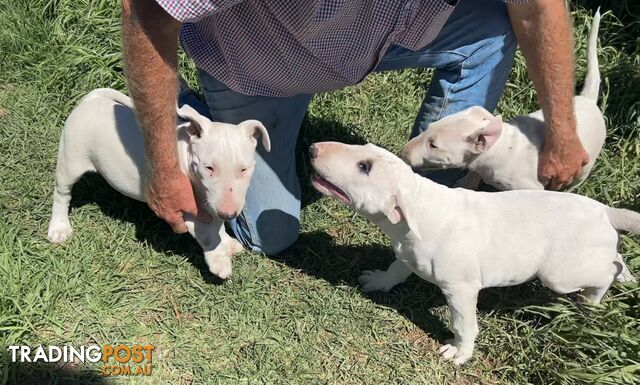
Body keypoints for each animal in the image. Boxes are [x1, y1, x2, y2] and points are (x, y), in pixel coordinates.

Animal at [47, 88, 270, 278]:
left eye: (244, 169)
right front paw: (219, 261)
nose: (229, 213)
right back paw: (58, 228)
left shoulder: (211, 201)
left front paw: (228, 243)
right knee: (61, 194)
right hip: (71, 160)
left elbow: (216, 224)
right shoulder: (182, 207)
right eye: (209, 168)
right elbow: (208, 233)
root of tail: (90, 100)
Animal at [308, 140, 636, 364]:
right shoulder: (407, 252)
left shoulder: (461, 288)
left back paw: (593, 303)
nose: (312, 149)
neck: (418, 209)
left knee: (605, 273)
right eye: (361, 149)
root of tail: (605, 212)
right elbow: (397, 268)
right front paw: (379, 281)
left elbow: (464, 324)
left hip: (559, 275)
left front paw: (459, 352)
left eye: (364, 167)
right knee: (615, 258)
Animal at [400, 11, 604, 191]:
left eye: (433, 145)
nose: (403, 152)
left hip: (583, 168)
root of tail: (588, 99)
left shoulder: (528, 186)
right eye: (428, 128)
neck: (500, 146)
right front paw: (465, 185)